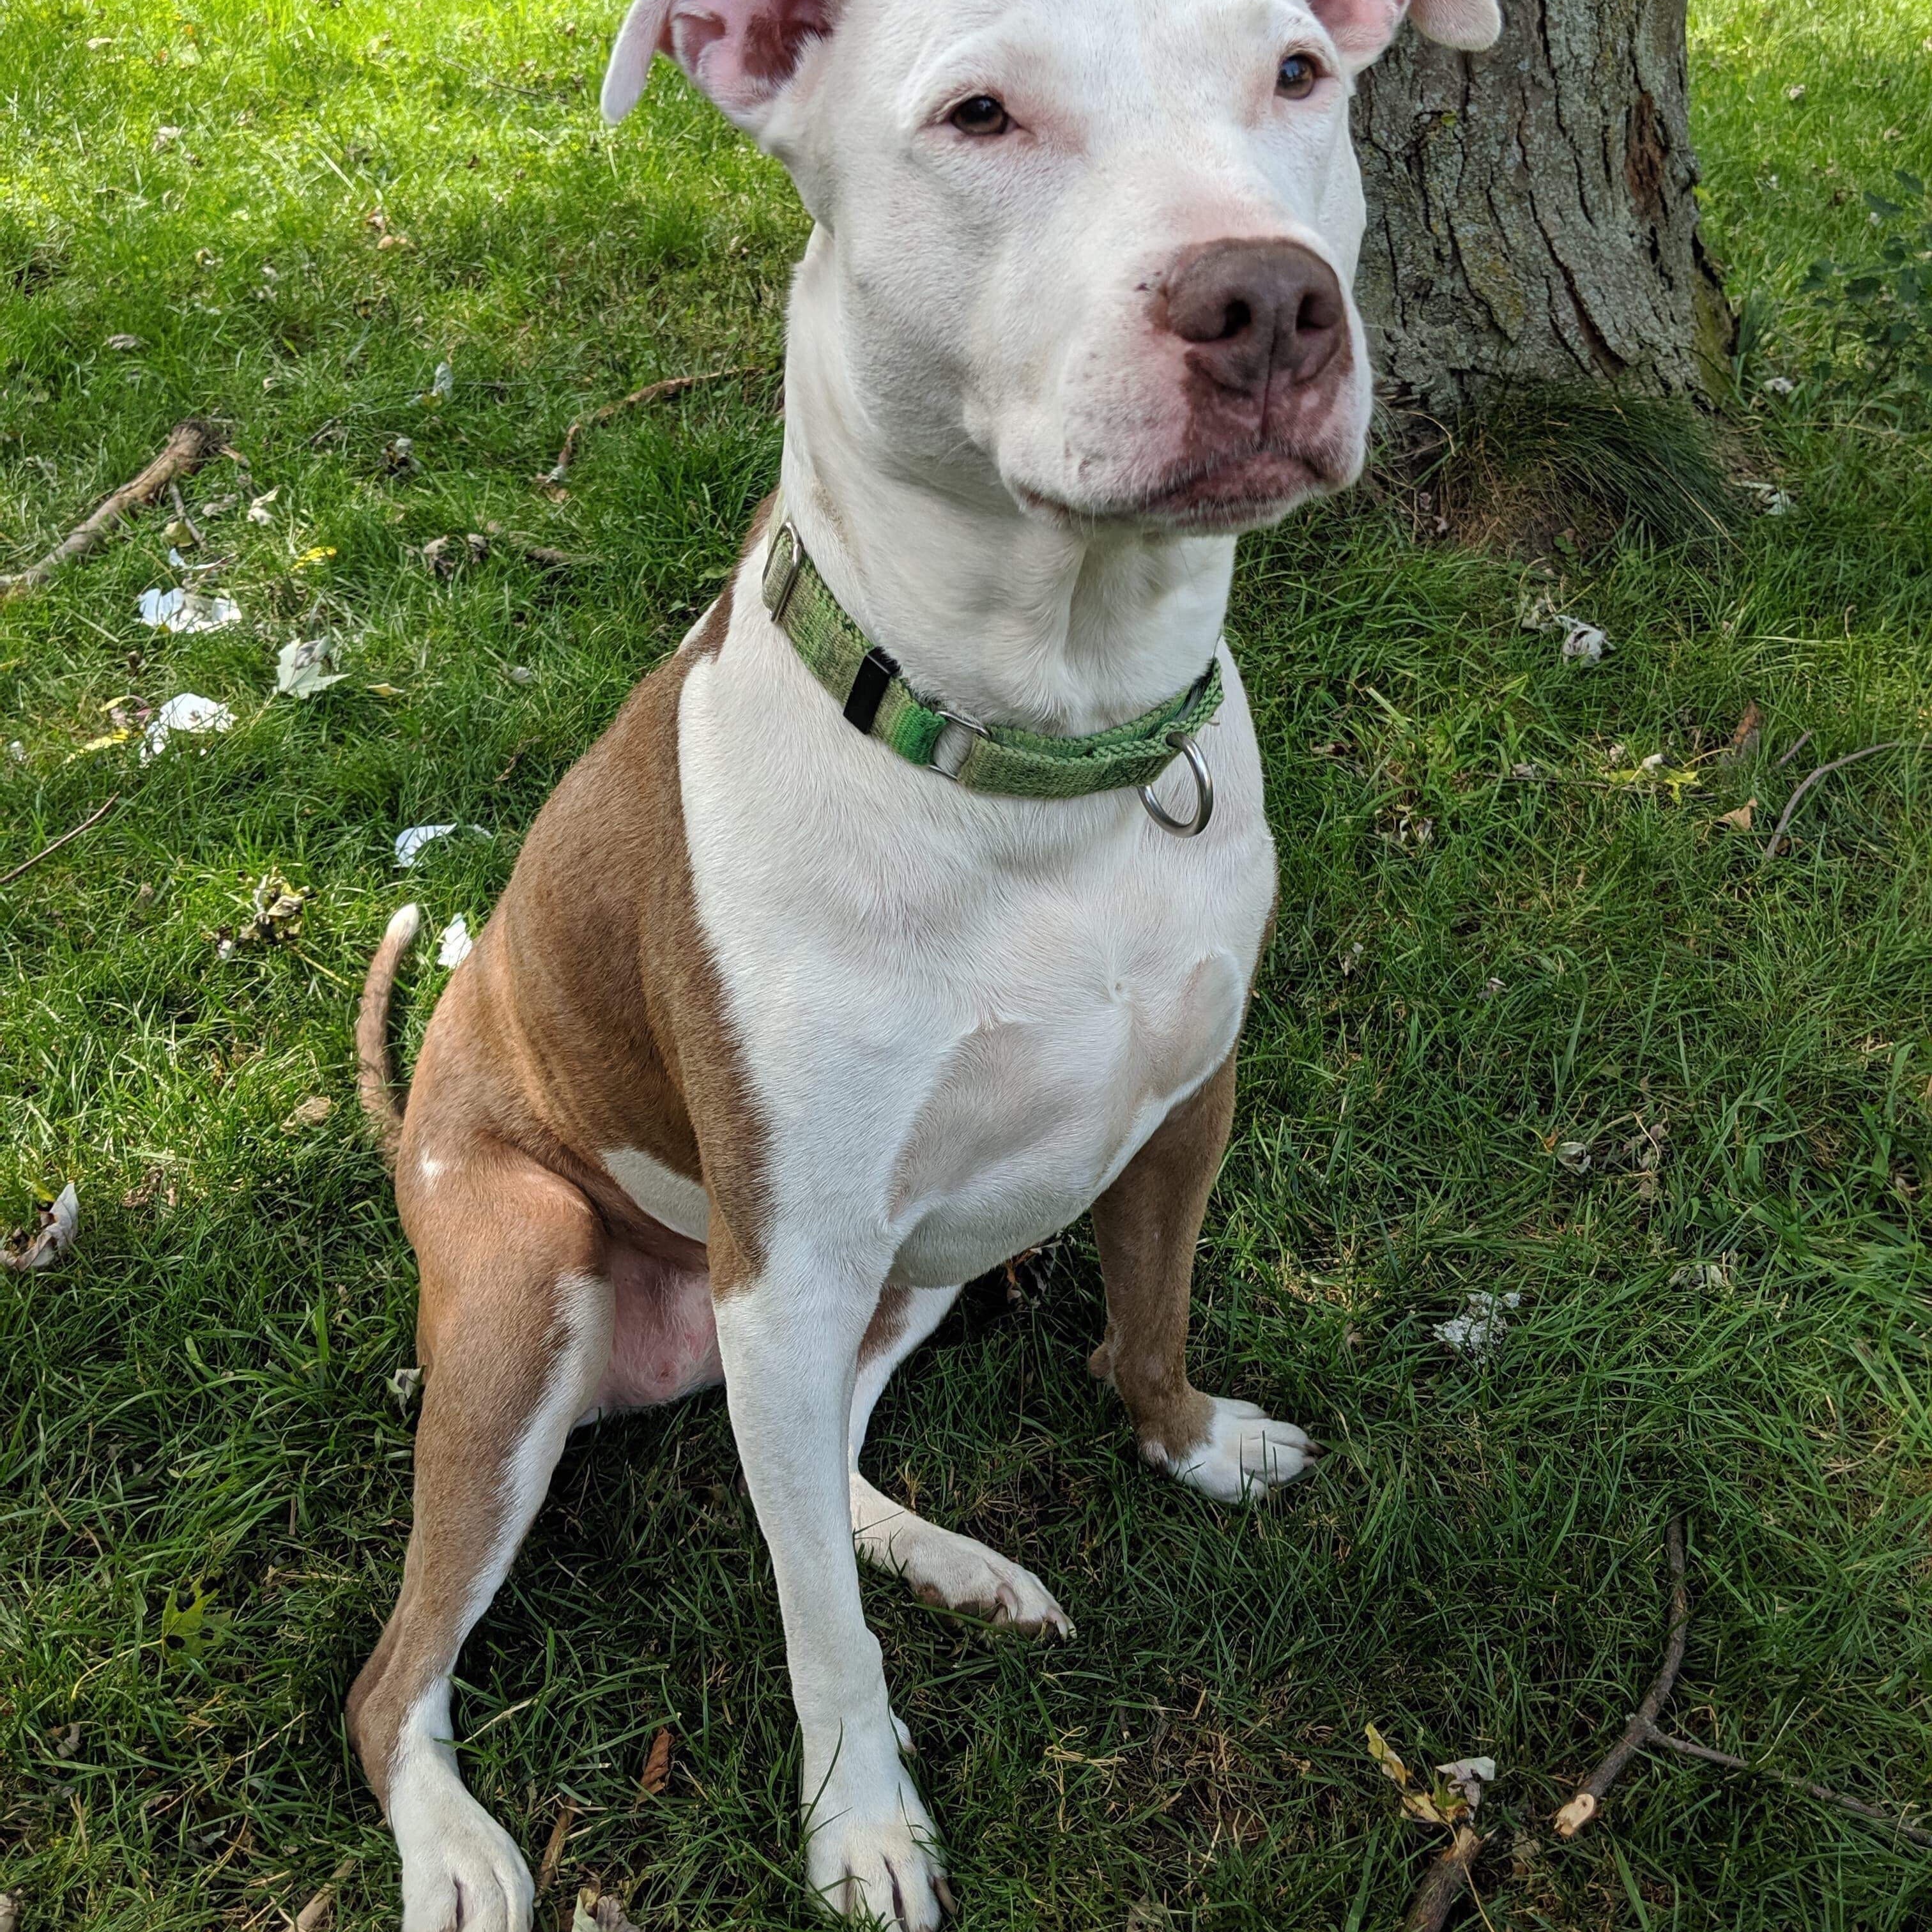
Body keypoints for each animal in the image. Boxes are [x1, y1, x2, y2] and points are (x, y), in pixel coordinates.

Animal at [348, 0, 1491, 1924]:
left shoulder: (1184, 1106)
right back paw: (454, 1842)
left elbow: (1145, 1317)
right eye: (978, 113)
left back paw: (944, 1553)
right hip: (526, 1293)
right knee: (412, 1666)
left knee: (813, 1471)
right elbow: (817, 1633)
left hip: (916, 1264)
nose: (1267, 299)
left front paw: (1192, 1440)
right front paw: (861, 1823)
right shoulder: (793, 1258)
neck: (1056, 750)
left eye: (1295, 75)